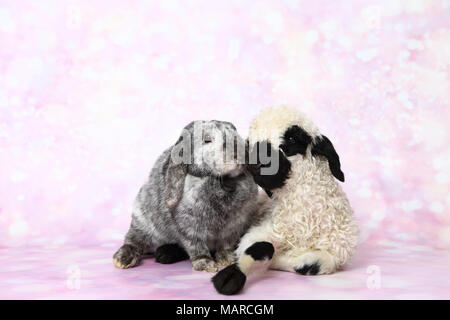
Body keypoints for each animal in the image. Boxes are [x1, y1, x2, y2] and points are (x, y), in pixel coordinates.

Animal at [114, 120, 258, 272]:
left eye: (235, 133)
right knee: (134, 240)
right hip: (141, 220)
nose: (240, 154)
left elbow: (227, 245)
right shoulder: (188, 228)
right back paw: (123, 259)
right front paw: (206, 265)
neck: (223, 182)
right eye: (207, 140)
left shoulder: (234, 227)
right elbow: (196, 246)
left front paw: (227, 259)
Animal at [213, 105, 360, 296]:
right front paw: (229, 278)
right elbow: (262, 247)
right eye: (250, 143)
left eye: (292, 138)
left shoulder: (334, 253)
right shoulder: (258, 233)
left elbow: (305, 264)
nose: (256, 163)